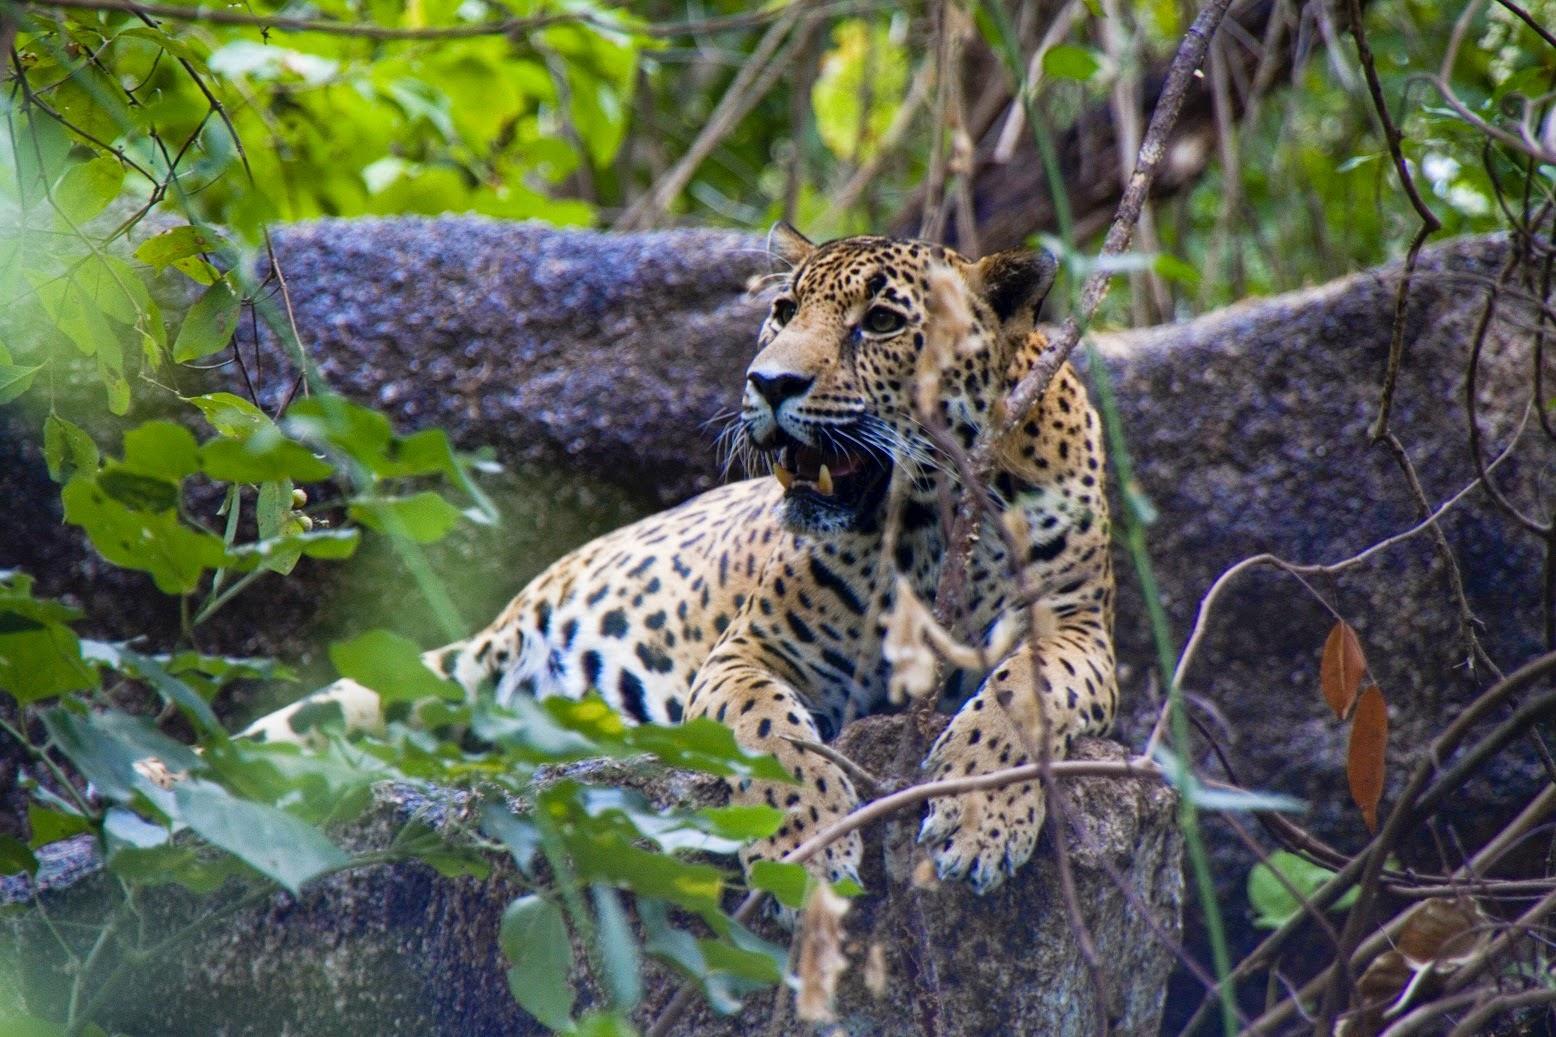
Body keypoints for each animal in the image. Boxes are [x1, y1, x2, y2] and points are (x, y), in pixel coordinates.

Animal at [244, 224, 1118, 899]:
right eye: (783, 311)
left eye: (880, 320)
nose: (768, 382)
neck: (929, 526)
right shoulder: (750, 651)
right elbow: (774, 734)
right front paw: (806, 848)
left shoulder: (1079, 629)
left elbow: (1023, 690)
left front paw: (978, 820)